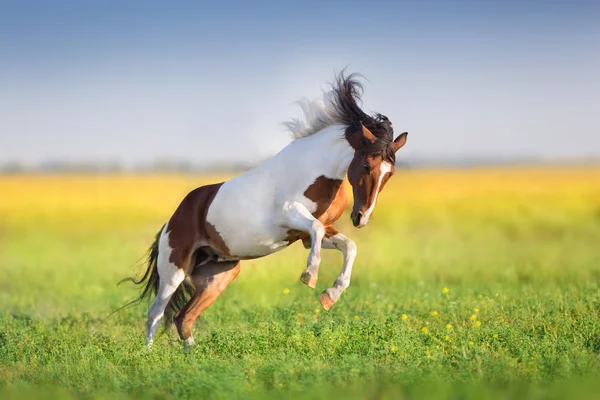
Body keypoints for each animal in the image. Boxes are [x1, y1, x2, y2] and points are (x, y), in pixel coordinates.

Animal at [126, 72, 408, 350]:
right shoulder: (290, 215)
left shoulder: (308, 236)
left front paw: (330, 296)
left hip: (218, 275)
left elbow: (349, 246)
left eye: (390, 173)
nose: (361, 217)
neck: (315, 169)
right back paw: (148, 356)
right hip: (174, 269)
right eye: (366, 165)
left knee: (183, 317)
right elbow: (318, 231)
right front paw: (310, 276)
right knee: (155, 313)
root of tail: (172, 220)